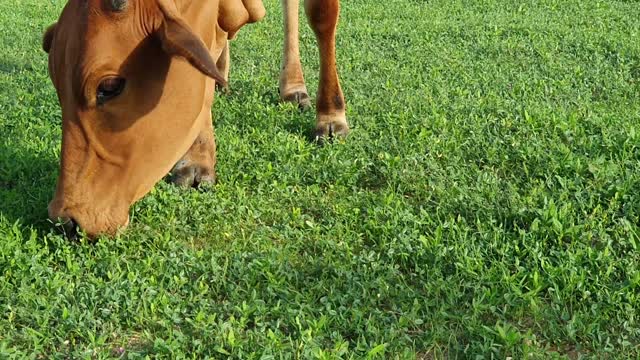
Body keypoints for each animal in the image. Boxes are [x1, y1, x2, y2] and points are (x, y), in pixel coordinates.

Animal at [43, 0, 350, 238]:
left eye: (109, 87)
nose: (65, 221)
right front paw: (197, 160)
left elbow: (322, 14)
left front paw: (331, 116)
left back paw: (294, 88)